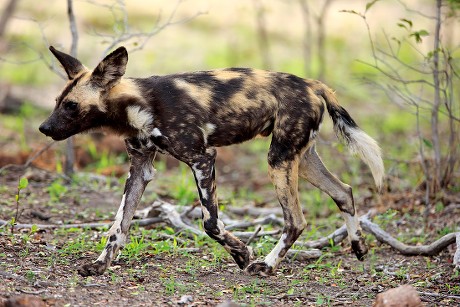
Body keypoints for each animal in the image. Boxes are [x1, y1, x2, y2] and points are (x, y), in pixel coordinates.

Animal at [40, 47, 384, 278]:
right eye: (57, 102)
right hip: (300, 158)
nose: (44, 128)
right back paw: (359, 248)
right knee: (344, 191)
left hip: (278, 160)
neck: (138, 105)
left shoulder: (202, 159)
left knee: (296, 220)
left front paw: (243, 254)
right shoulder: (140, 168)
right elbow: (118, 225)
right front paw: (100, 264)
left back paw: (265, 265)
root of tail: (314, 84)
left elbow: (210, 223)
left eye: (71, 106)